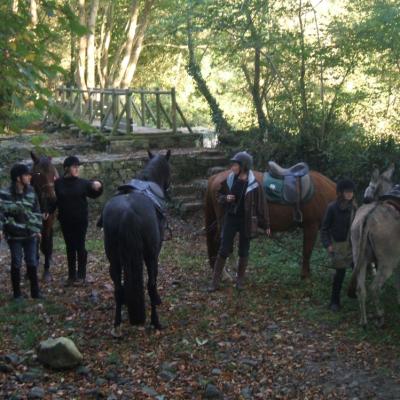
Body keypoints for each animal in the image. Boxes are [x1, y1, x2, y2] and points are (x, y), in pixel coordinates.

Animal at [101, 148, 170, 336]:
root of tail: (127, 212)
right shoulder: (156, 253)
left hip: (114, 260)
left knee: (118, 288)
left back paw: (117, 323)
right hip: (150, 256)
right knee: (150, 285)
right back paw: (156, 321)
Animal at [205, 169, 336, 278]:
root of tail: (215, 177)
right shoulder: (311, 226)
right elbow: (307, 251)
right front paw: (305, 275)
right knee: (221, 242)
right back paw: (225, 274)